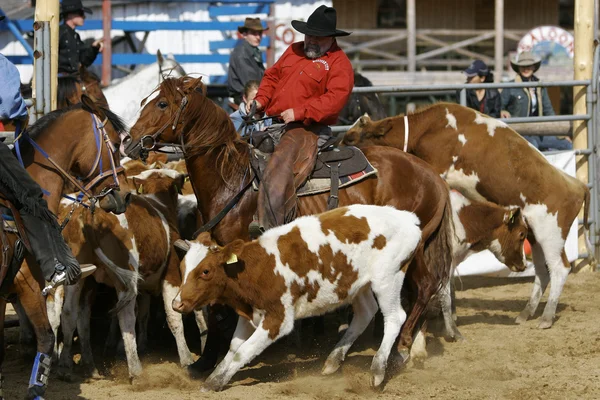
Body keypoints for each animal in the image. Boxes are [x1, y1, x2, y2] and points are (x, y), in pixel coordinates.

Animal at [171, 206, 422, 390]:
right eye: (182, 267)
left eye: (205, 271)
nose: (177, 303)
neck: (256, 267)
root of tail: (408, 219)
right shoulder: (248, 313)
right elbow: (234, 348)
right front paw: (214, 379)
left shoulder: (278, 320)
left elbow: (243, 351)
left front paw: (215, 382)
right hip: (356, 284)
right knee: (365, 312)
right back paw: (333, 361)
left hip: (388, 278)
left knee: (395, 317)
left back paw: (377, 371)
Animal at [344, 102, 592, 328]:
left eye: (351, 139)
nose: (338, 145)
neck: (430, 127)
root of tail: (577, 185)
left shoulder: (439, 169)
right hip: (535, 235)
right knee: (542, 270)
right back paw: (526, 313)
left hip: (551, 234)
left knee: (560, 268)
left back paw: (546, 317)